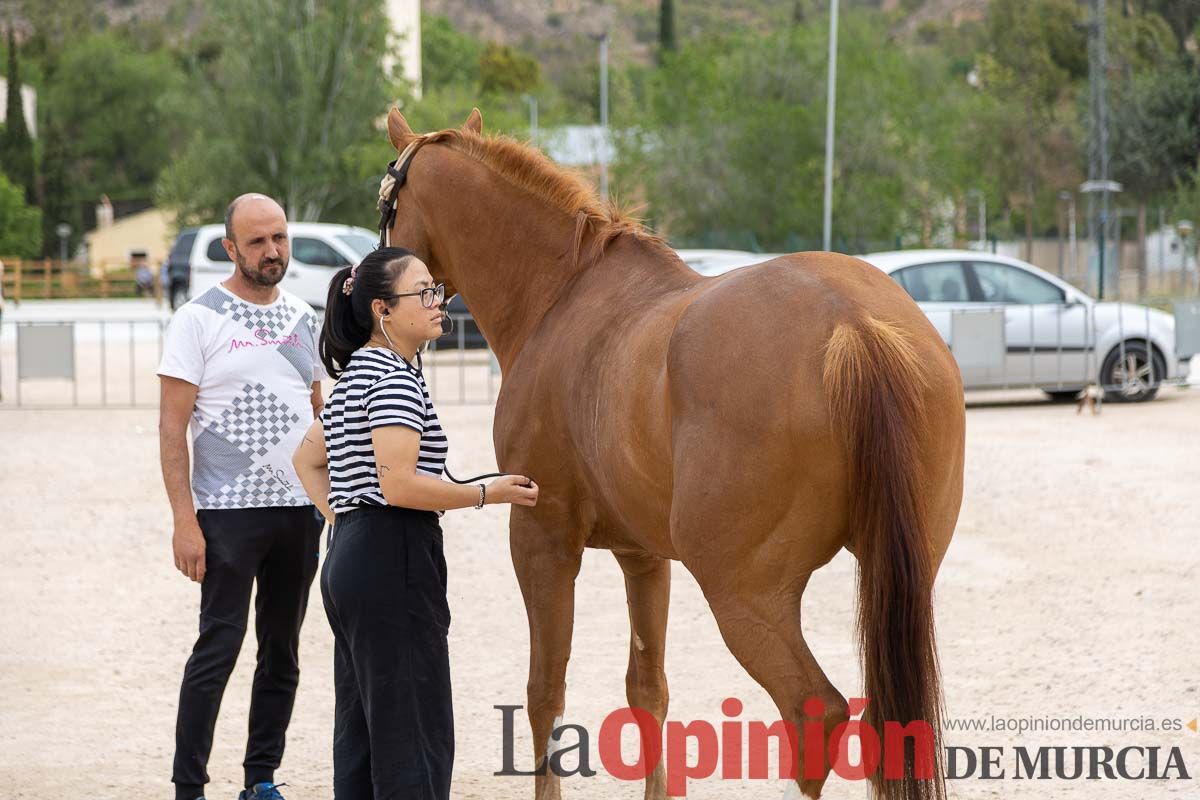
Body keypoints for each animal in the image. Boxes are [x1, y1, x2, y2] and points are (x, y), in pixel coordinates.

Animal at [384, 107, 964, 800]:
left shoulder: (541, 540)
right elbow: (648, 689)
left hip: (745, 593)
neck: (562, 296)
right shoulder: (643, 555)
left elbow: (544, 692)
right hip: (900, 580)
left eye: (387, 200)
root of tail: (853, 323)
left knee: (812, 710)